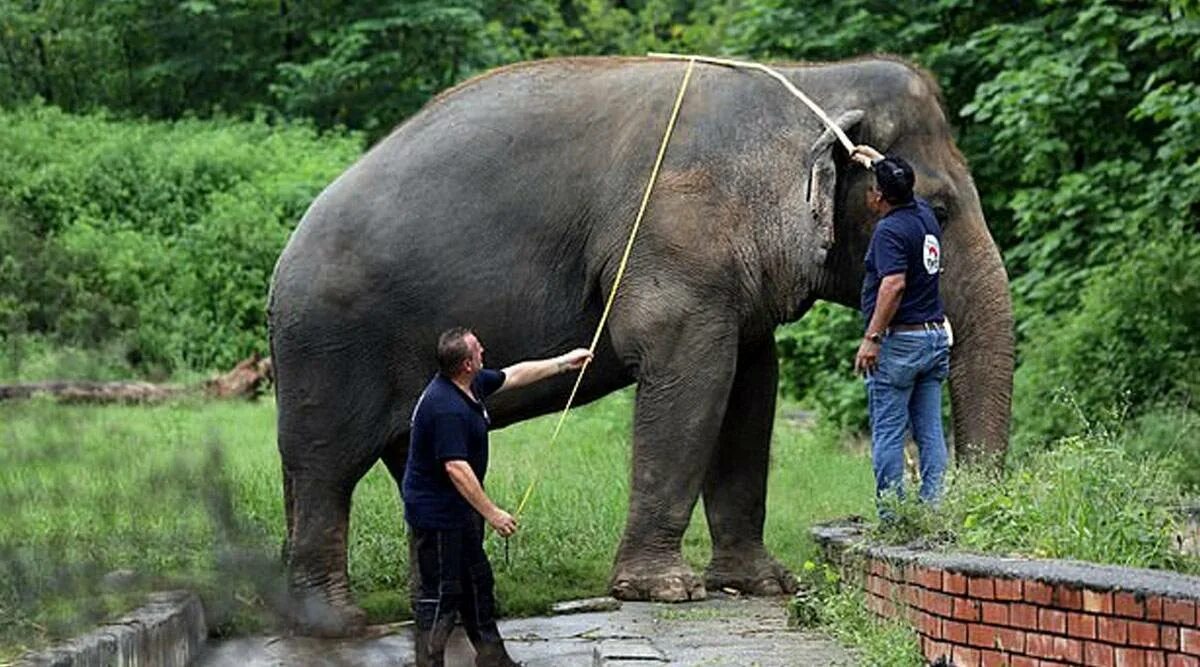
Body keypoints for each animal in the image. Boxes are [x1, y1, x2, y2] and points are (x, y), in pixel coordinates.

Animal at [270, 54, 1012, 633]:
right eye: (938, 209)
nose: (962, 512)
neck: (808, 83)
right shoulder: (675, 245)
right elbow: (694, 378)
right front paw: (666, 590)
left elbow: (750, 392)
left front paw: (762, 583)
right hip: (328, 349)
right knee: (325, 469)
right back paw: (337, 622)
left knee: (405, 471)